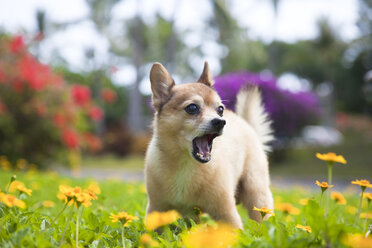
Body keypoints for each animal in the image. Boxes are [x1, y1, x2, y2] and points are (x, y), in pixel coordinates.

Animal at [145, 62, 274, 229]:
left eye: (220, 110)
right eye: (192, 108)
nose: (220, 121)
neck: (187, 164)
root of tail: (246, 124)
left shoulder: (226, 213)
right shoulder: (157, 209)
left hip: (256, 192)